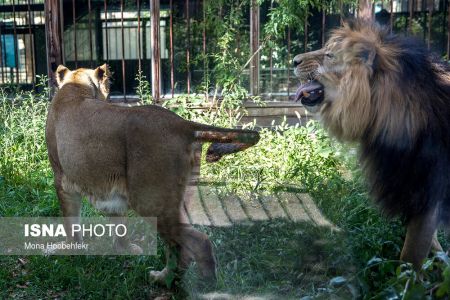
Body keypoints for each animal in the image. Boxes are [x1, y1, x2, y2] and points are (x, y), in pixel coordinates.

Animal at [46, 63, 260, 284]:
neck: (77, 85)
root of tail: (182, 124)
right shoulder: (109, 188)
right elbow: (118, 221)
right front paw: (125, 250)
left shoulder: (61, 178)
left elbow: (70, 220)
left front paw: (69, 250)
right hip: (178, 199)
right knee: (181, 249)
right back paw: (167, 280)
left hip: (149, 201)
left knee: (197, 243)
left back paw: (194, 283)